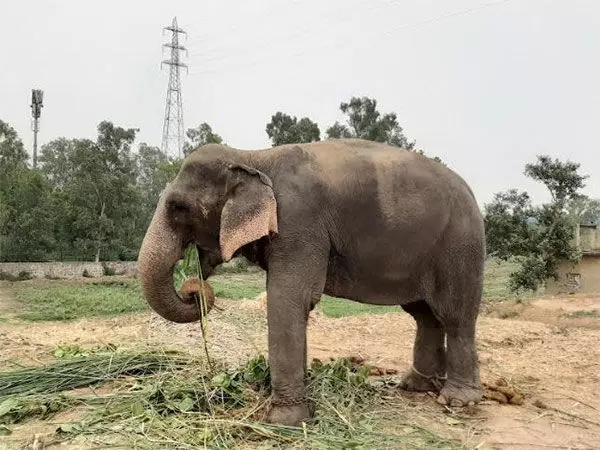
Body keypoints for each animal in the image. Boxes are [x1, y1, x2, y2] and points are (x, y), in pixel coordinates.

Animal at [138, 139, 486, 428]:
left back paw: (458, 401)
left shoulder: (298, 223)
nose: (193, 288)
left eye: (178, 207)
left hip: (461, 248)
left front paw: (283, 422)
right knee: (425, 315)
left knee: (455, 316)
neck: (252, 157)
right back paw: (415, 386)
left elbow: (288, 299)